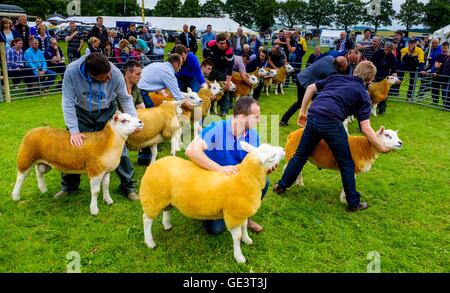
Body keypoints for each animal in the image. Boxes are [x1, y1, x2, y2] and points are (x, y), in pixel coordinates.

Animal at [11, 112, 143, 214]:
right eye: (124, 120)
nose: (140, 122)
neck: (107, 142)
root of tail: (32, 130)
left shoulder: (105, 171)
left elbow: (106, 185)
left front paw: (108, 200)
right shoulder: (95, 171)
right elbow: (95, 191)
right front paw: (94, 210)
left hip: (44, 162)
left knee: (39, 172)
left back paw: (43, 189)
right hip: (26, 157)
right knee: (20, 177)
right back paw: (15, 196)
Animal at [139, 141, 284, 262]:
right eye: (272, 156)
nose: (283, 149)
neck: (246, 177)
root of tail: (154, 164)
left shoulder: (241, 211)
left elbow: (244, 226)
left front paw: (247, 239)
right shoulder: (233, 214)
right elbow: (236, 237)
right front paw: (239, 257)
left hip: (166, 197)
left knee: (166, 209)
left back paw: (167, 224)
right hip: (153, 197)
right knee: (146, 219)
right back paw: (149, 242)